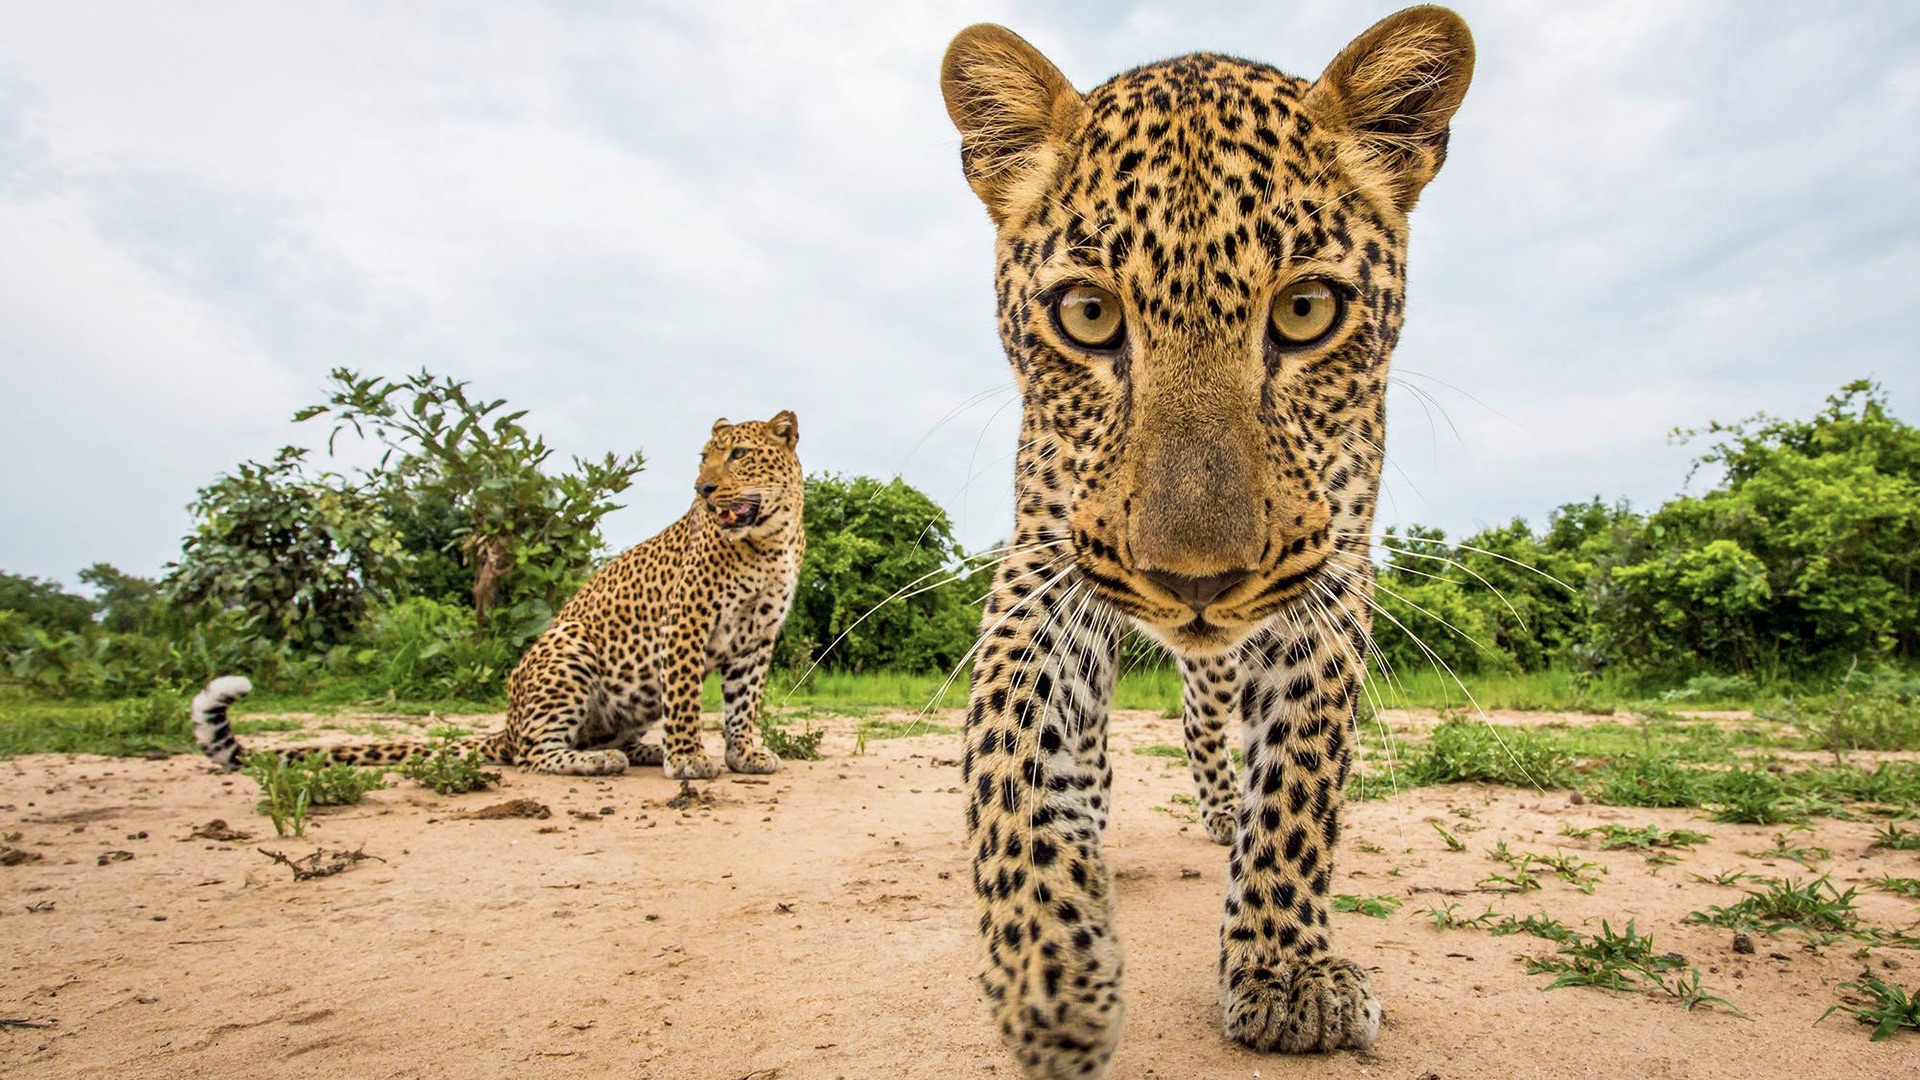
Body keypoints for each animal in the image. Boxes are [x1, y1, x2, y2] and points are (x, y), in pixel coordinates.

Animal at [200, 409, 810, 772]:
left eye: (738, 455)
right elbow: (684, 698)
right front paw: (687, 759)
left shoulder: (756, 637)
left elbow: (743, 703)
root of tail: (507, 725)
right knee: (534, 754)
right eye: (704, 458)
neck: (769, 539)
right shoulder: (685, 620)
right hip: (568, 647)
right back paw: (599, 762)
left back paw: (636, 750)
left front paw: (745, 755)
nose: (702, 489)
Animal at [940, 6, 1466, 1068]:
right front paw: (1052, 972)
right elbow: (1010, 752)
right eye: (1087, 314)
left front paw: (1286, 969)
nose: (1195, 583)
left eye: (1306, 311)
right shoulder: (1044, 562)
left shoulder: (1331, 579)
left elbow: (1301, 777)